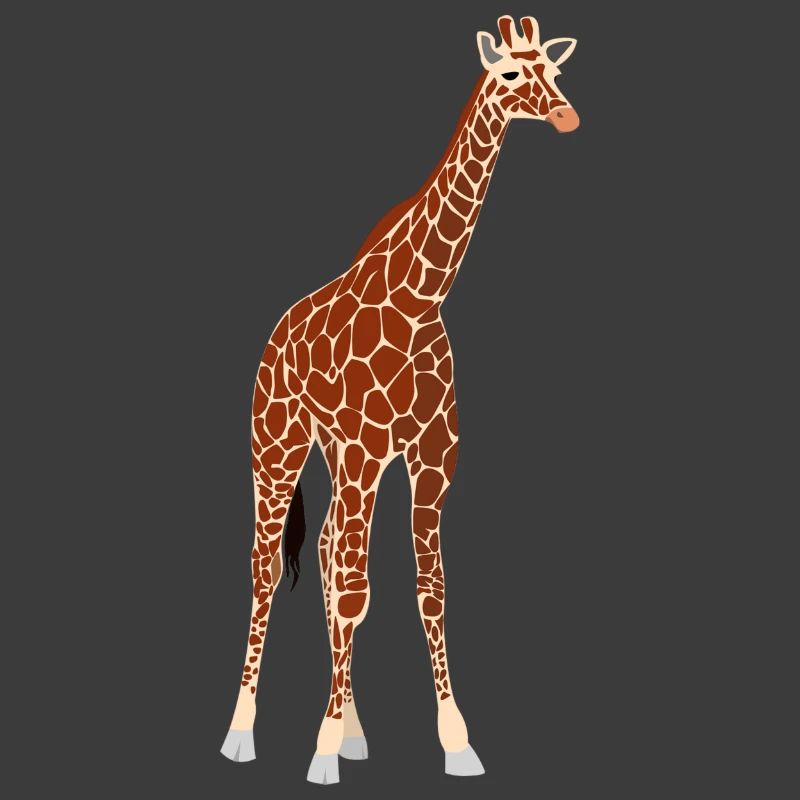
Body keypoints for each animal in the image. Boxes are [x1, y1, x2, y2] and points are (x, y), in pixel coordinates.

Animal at [220, 15, 580, 784]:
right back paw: (242, 731)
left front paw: (455, 742)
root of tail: (273, 338)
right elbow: (356, 592)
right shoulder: (364, 448)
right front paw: (321, 751)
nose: (566, 115)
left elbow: (428, 591)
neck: (421, 298)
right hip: (279, 446)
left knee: (328, 549)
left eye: (557, 72)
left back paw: (354, 729)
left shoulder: (431, 458)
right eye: (510, 74)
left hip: (341, 456)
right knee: (270, 569)